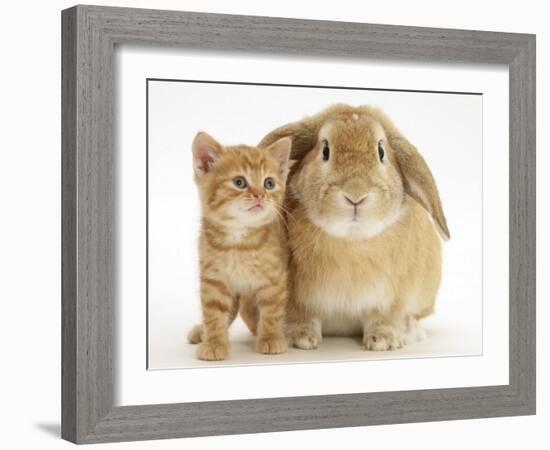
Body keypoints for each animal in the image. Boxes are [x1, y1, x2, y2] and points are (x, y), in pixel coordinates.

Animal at [188, 132, 294, 360]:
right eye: (239, 182)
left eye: (269, 183)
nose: (260, 195)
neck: (240, 241)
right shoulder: (213, 278)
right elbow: (214, 313)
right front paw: (214, 342)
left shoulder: (275, 278)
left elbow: (272, 310)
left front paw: (271, 338)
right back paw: (202, 331)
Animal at [260, 104, 450, 352]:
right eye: (325, 150)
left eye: (381, 151)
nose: (356, 195)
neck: (351, 240)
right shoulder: (294, 299)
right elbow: (299, 315)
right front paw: (300, 338)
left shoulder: (392, 298)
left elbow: (384, 318)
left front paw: (384, 341)